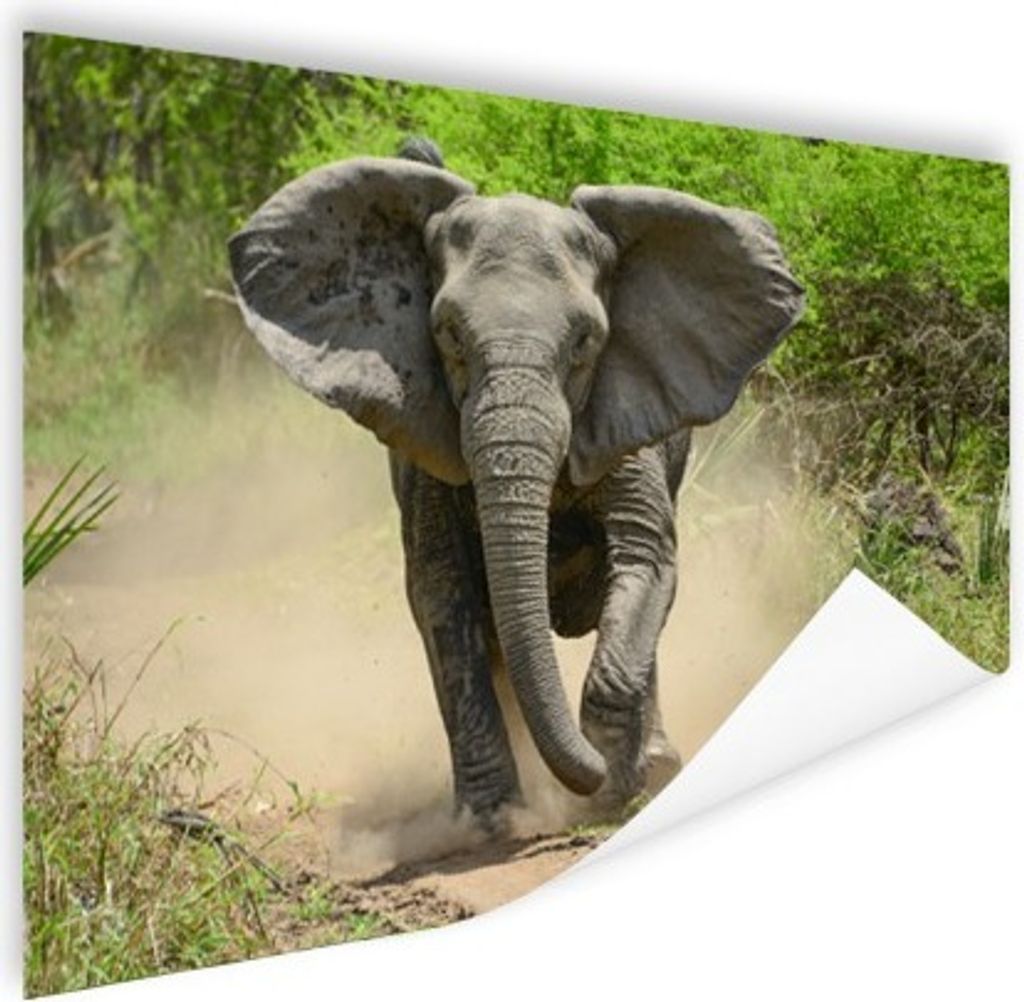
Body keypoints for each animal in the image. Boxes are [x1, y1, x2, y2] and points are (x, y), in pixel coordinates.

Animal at [228, 141, 804, 830]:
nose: (592, 778)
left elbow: (645, 559)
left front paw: (614, 789)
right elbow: (442, 593)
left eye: (586, 342)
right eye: (448, 334)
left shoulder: (625, 414)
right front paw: (492, 818)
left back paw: (656, 767)